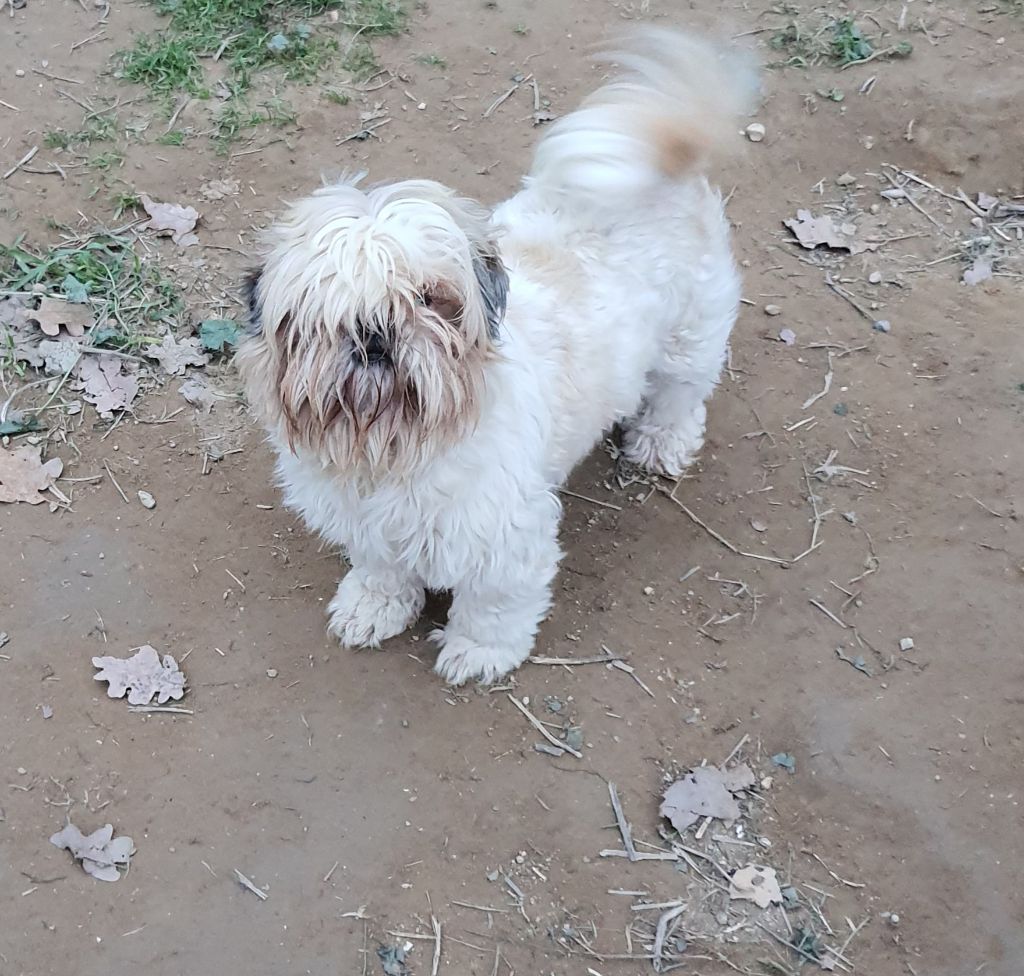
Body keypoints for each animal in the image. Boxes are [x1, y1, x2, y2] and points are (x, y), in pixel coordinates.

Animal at [237, 30, 753, 684]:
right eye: (324, 311)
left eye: (432, 299)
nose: (374, 334)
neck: (395, 446)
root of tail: (666, 160)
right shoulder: (370, 527)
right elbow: (382, 570)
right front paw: (373, 606)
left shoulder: (505, 540)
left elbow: (494, 605)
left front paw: (478, 651)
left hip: (689, 342)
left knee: (680, 396)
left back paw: (660, 442)